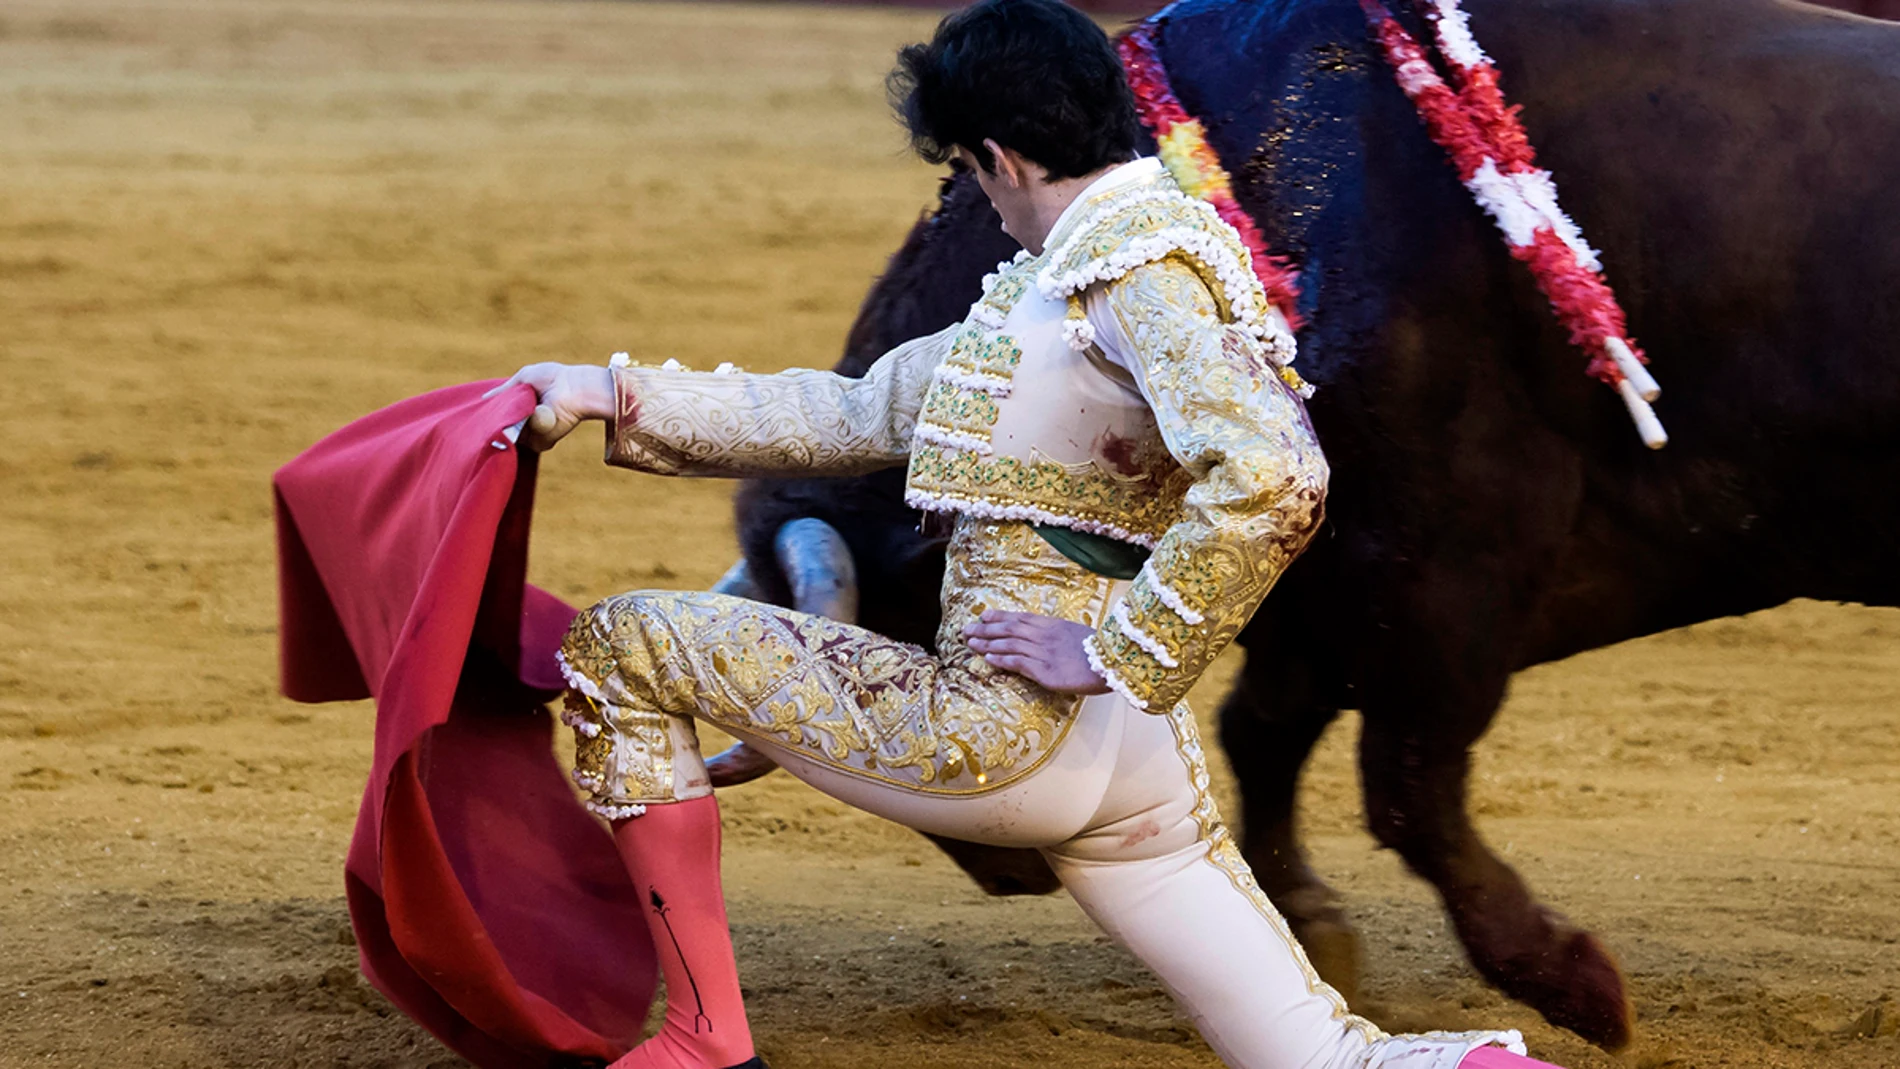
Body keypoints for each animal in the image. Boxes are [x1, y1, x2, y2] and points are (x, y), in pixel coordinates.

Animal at [703, 0, 1900, 1055]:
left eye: (902, 624)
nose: (1014, 868)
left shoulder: (1442, 584)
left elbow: (1407, 788)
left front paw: (1577, 984)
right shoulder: (1332, 596)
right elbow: (1265, 733)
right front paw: (1320, 928)